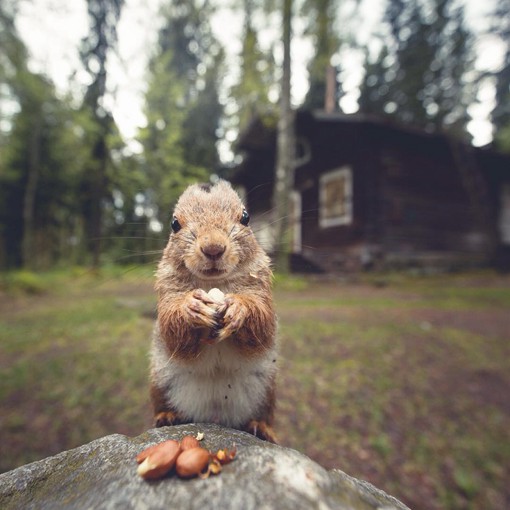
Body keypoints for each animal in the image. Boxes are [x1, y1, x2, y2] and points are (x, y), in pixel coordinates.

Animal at [150, 179, 278, 442]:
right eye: (175, 223)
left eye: (246, 217)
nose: (213, 248)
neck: (212, 284)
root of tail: (215, 416)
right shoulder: (167, 289)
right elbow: (171, 330)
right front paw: (191, 308)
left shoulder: (261, 285)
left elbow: (263, 324)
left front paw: (239, 308)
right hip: (159, 383)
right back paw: (167, 416)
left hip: (266, 391)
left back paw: (261, 427)